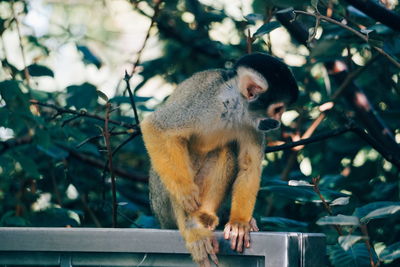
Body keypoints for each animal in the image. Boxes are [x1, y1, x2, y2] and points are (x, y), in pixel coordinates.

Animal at [141, 51, 296, 266]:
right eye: (278, 109)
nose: (278, 123)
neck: (235, 107)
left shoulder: (253, 126)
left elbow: (249, 166)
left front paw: (239, 223)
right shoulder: (203, 102)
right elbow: (156, 127)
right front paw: (184, 191)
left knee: (225, 150)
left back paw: (208, 216)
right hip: (159, 205)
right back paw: (192, 226)